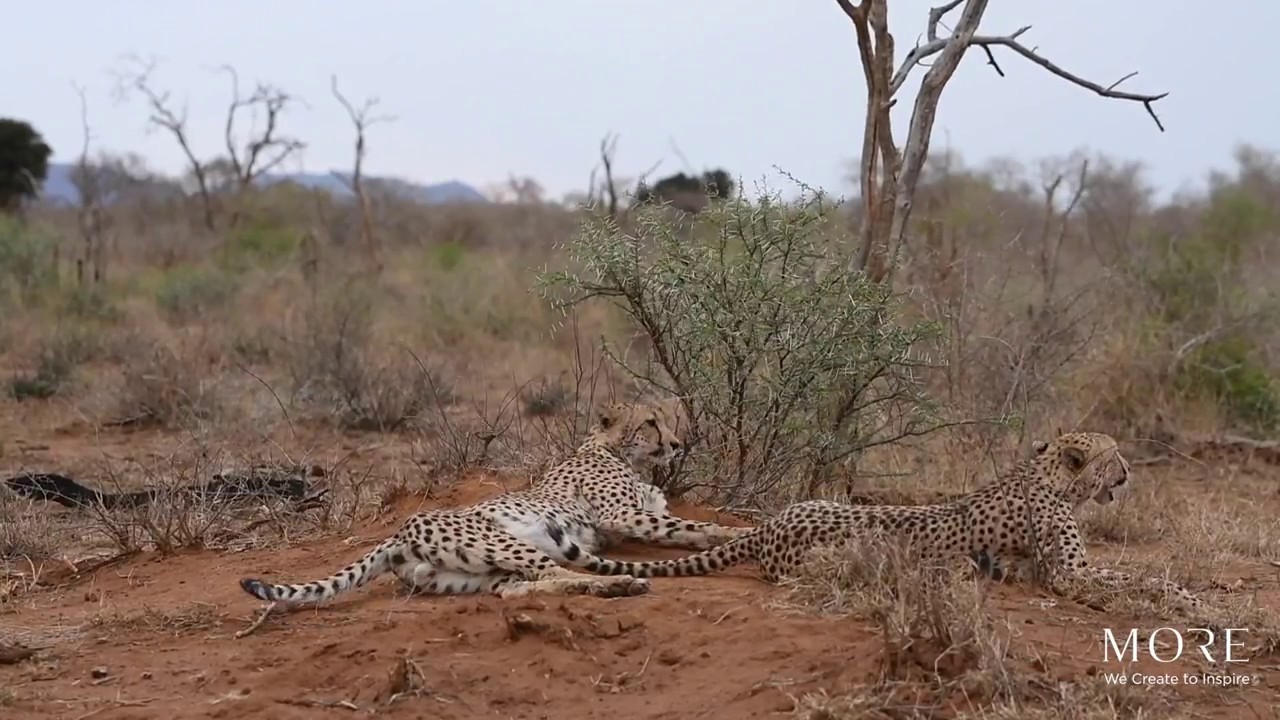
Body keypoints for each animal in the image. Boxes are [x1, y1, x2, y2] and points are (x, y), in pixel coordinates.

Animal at [238, 399, 748, 606]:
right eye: (650, 422)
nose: (677, 444)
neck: (609, 447)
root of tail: (398, 533)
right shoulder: (622, 515)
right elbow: (695, 527)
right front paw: (741, 533)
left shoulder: (640, 511)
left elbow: (683, 524)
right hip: (505, 543)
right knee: (556, 572)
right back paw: (619, 584)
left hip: (471, 573)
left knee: (519, 588)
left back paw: (606, 588)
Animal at [559, 431, 1202, 612]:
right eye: (1113, 455)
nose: (1128, 473)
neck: (1049, 477)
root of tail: (771, 526)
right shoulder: (1065, 574)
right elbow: (1138, 580)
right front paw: (1189, 599)